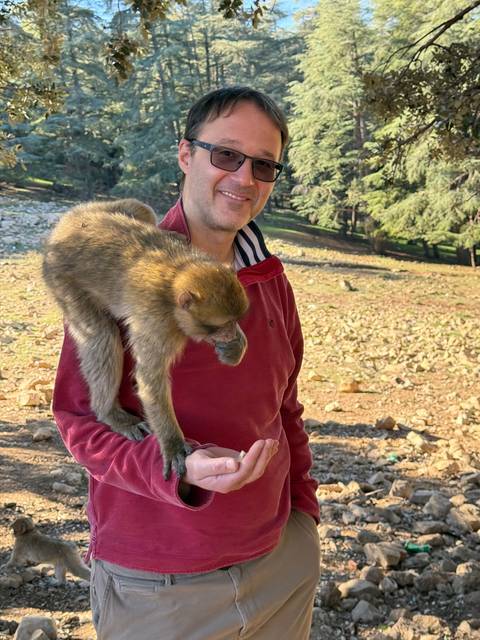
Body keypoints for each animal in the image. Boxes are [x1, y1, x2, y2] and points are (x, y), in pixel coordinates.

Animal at [42, 198, 249, 479]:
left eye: (234, 320)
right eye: (221, 325)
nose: (230, 332)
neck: (176, 276)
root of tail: (63, 229)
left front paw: (234, 347)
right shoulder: (158, 323)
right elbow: (150, 378)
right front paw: (173, 445)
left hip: (95, 211)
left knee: (139, 207)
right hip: (61, 279)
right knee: (101, 336)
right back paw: (110, 413)